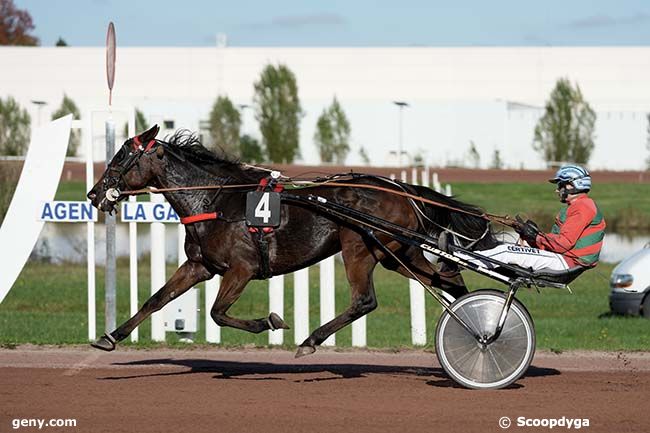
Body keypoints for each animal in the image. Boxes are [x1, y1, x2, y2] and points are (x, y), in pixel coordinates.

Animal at [87, 125, 496, 354]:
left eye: (121, 156)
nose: (93, 193)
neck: (214, 201)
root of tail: (402, 189)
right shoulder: (200, 265)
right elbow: (157, 299)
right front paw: (110, 336)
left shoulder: (242, 267)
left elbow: (218, 312)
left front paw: (270, 322)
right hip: (400, 253)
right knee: (451, 282)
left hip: (359, 246)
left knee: (364, 300)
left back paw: (310, 341)